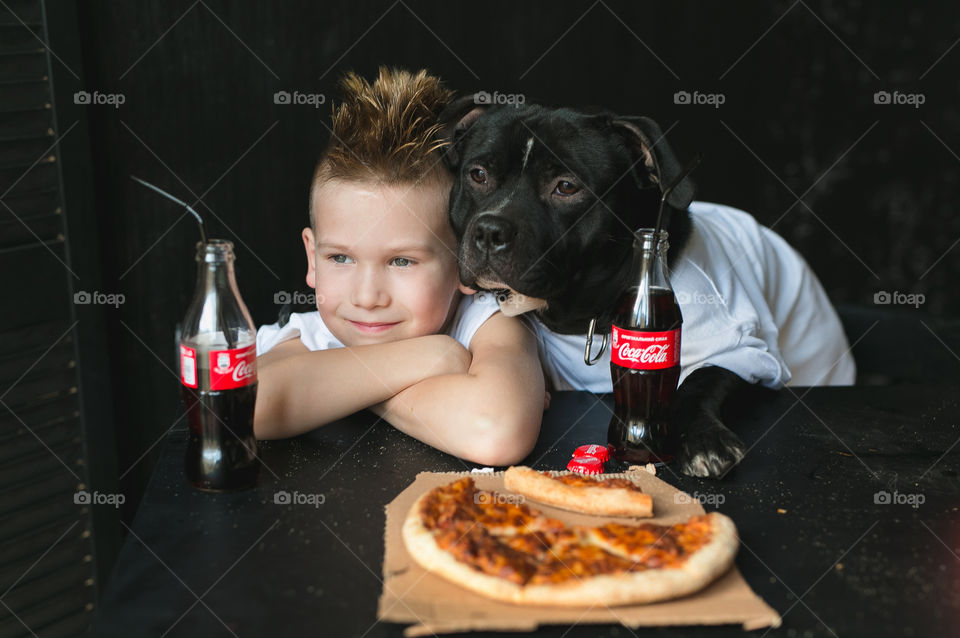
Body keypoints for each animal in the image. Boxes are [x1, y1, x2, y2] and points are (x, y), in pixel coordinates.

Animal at [438, 99, 792, 480]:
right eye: (478, 175)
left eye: (566, 187)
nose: (490, 230)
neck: (590, 314)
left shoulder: (745, 352)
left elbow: (701, 380)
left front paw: (705, 441)